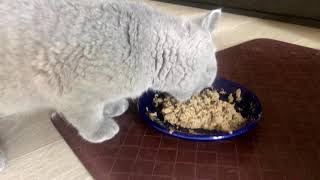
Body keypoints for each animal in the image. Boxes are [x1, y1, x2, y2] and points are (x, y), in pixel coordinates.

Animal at [0, 0, 220, 170]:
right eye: (210, 75)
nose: (204, 90)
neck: (144, 48)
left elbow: (106, 101)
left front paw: (114, 106)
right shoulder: (75, 95)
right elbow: (88, 118)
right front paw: (102, 130)